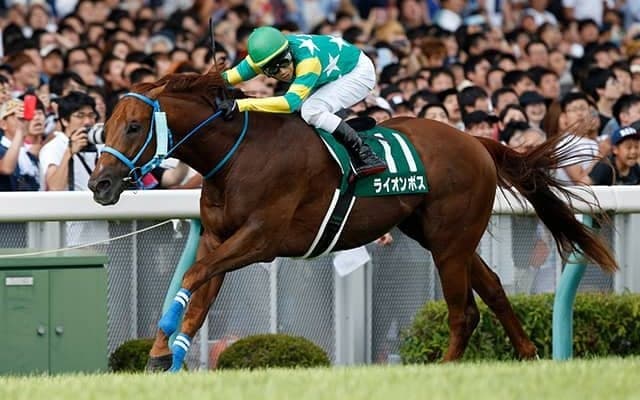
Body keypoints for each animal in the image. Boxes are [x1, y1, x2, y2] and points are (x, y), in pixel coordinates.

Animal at [88, 71, 617, 371]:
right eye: (102, 128)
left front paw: (161, 348)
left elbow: (192, 278)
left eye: (133, 126)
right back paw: (529, 356)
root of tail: (475, 141)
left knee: (464, 310)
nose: (100, 184)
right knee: (493, 290)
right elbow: (196, 298)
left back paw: (444, 370)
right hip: (439, 236)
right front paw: (164, 357)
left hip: (451, 240)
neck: (238, 155)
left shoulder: (261, 239)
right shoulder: (218, 237)